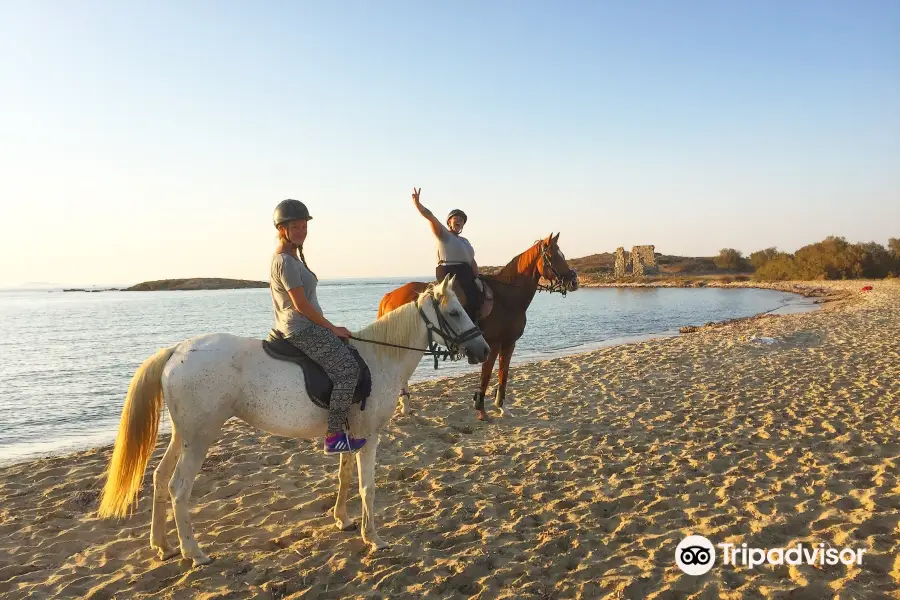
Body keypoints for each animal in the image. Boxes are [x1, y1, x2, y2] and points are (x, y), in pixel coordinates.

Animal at [98, 276, 488, 568]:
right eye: (454, 312)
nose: (483, 351)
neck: (379, 357)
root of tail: (176, 351)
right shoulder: (370, 436)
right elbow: (367, 486)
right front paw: (374, 537)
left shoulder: (351, 435)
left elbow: (345, 476)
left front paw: (342, 519)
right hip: (199, 438)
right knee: (178, 487)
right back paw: (195, 552)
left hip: (184, 434)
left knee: (159, 478)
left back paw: (163, 545)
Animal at [378, 232, 576, 420]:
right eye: (552, 255)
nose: (574, 281)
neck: (507, 297)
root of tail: (390, 296)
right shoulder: (493, 345)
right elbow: (486, 376)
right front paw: (481, 409)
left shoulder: (509, 343)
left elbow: (503, 374)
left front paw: (502, 407)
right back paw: (405, 405)